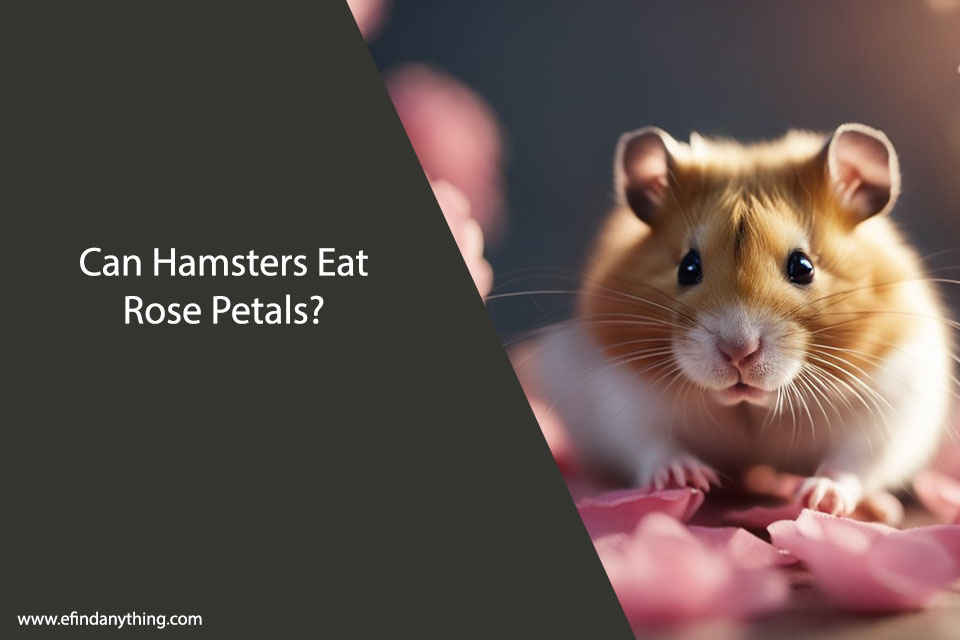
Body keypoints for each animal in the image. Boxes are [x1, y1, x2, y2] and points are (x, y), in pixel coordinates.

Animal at [526, 124, 952, 518]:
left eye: (803, 267)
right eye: (687, 268)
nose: (738, 351)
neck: (750, 407)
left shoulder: (888, 406)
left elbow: (852, 463)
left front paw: (819, 499)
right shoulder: (620, 397)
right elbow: (652, 445)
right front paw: (688, 478)